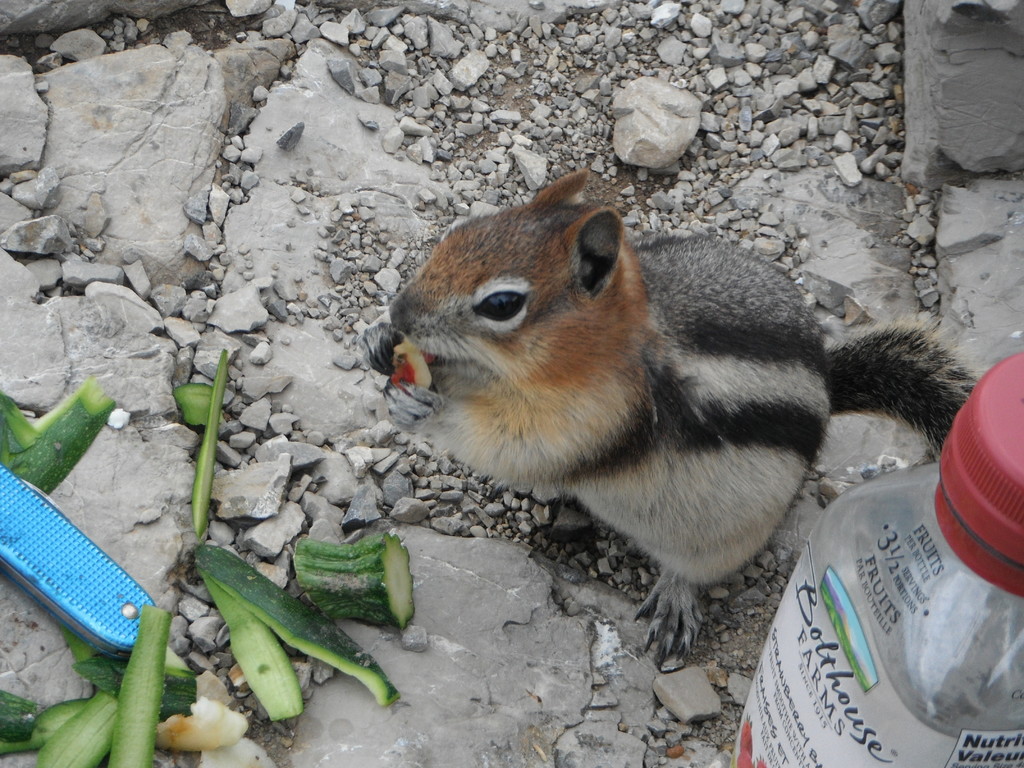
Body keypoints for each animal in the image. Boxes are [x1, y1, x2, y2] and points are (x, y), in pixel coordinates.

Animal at [362, 171, 974, 663]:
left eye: (501, 304)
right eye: (457, 235)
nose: (400, 310)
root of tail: (825, 384)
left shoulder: (595, 418)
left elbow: (517, 444)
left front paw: (430, 409)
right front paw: (379, 342)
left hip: (724, 534)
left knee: (693, 568)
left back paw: (676, 598)